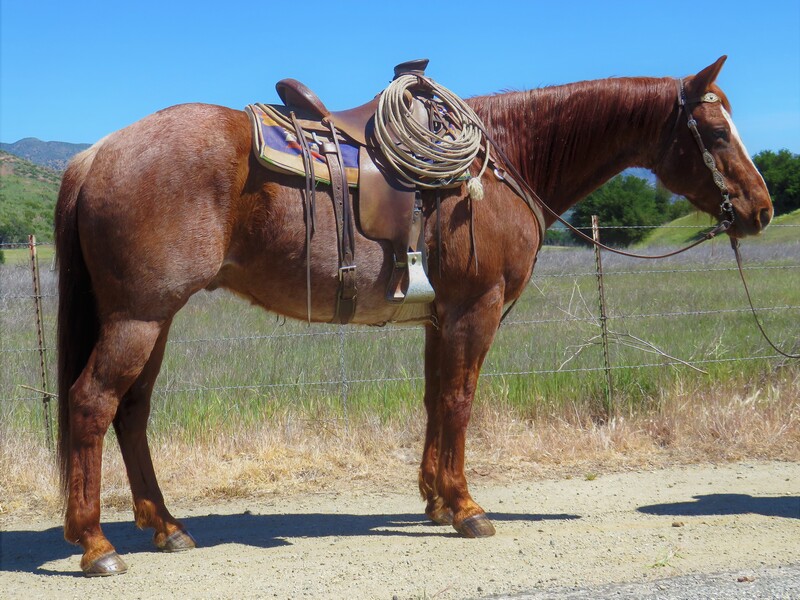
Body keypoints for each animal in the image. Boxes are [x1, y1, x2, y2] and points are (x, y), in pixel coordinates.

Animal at [54, 57, 768, 576]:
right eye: (715, 132)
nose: (759, 209)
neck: (503, 160)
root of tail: (96, 154)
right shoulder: (475, 311)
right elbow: (459, 401)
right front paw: (467, 507)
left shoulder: (439, 318)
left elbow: (434, 401)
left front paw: (434, 500)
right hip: (139, 319)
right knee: (92, 403)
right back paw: (96, 545)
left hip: (151, 319)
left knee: (132, 412)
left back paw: (166, 527)